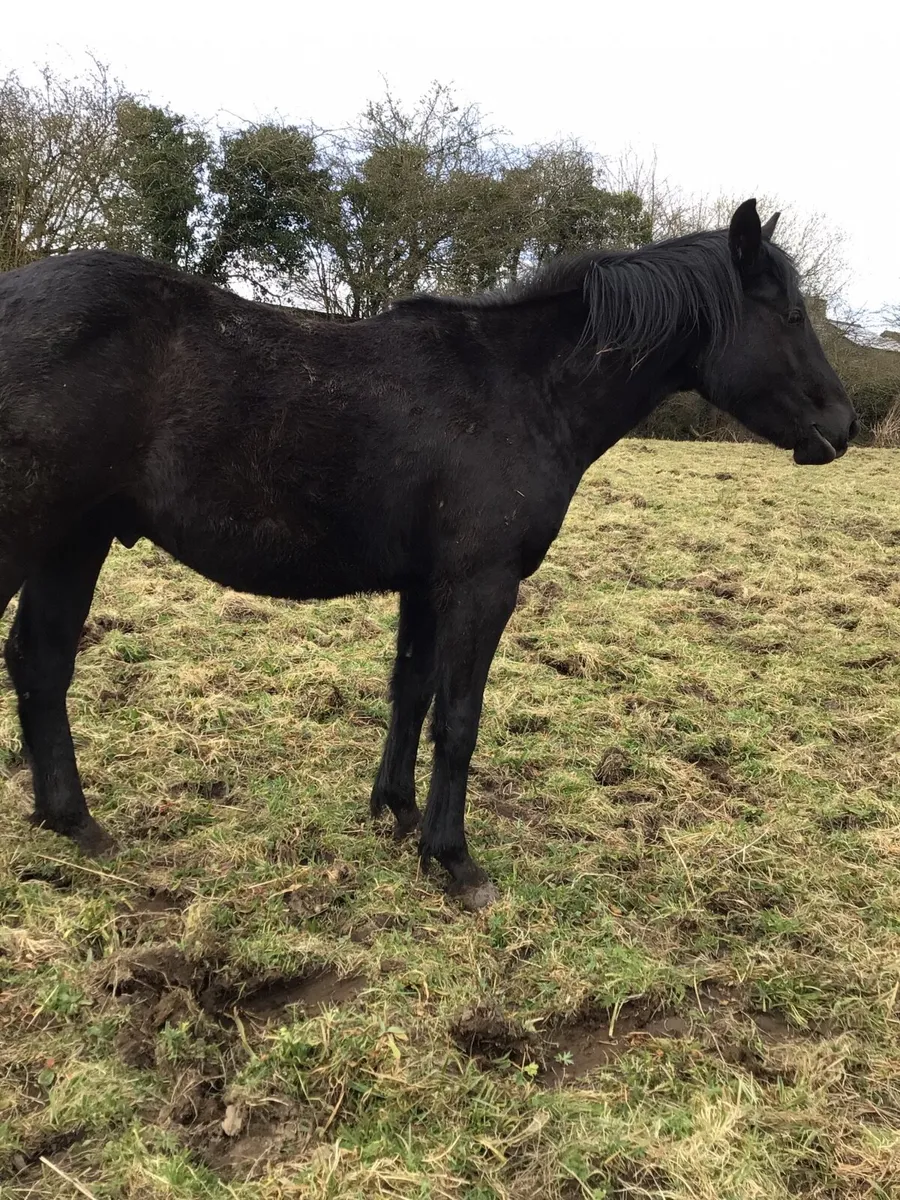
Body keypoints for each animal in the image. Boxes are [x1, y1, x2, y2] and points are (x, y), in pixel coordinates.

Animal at [0, 199, 858, 909]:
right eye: (790, 313)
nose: (844, 426)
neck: (527, 388)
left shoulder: (425, 584)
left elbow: (410, 692)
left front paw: (397, 813)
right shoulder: (482, 585)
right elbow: (460, 717)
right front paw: (454, 859)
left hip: (73, 541)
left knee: (41, 664)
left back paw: (72, 822)